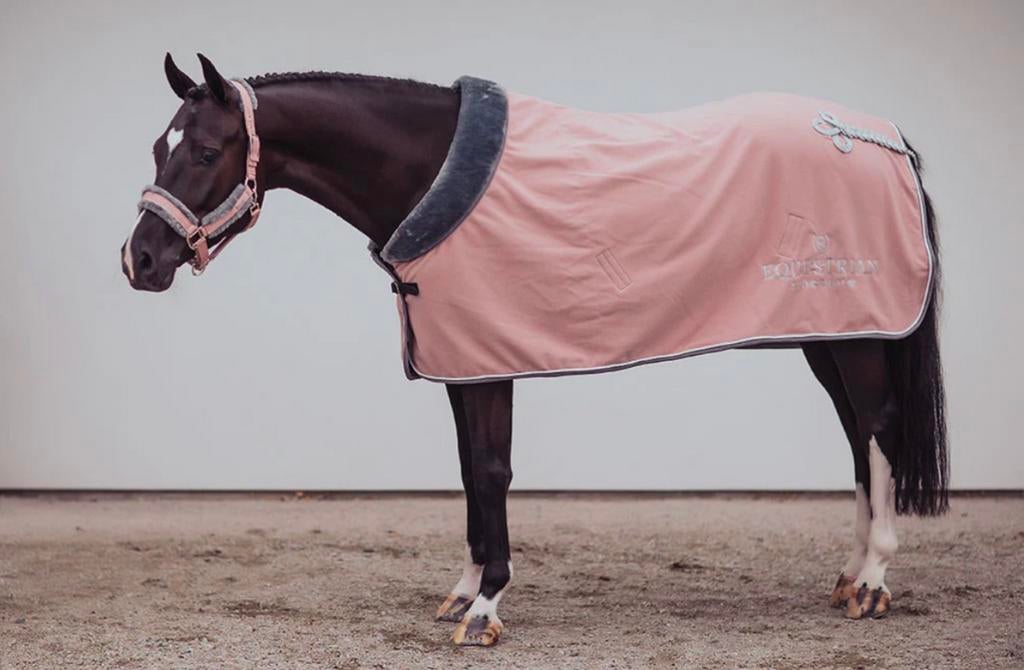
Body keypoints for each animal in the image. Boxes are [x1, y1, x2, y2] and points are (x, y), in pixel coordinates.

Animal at [121, 53, 948, 647]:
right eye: (159, 145)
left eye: (205, 150)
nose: (140, 261)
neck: (432, 173)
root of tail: (883, 137)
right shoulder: (463, 359)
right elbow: (467, 471)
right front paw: (464, 588)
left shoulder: (490, 361)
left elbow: (491, 469)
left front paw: (486, 607)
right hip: (828, 332)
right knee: (858, 435)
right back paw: (848, 575)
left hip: (857, 333)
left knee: (878, 427)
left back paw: (873, 580)